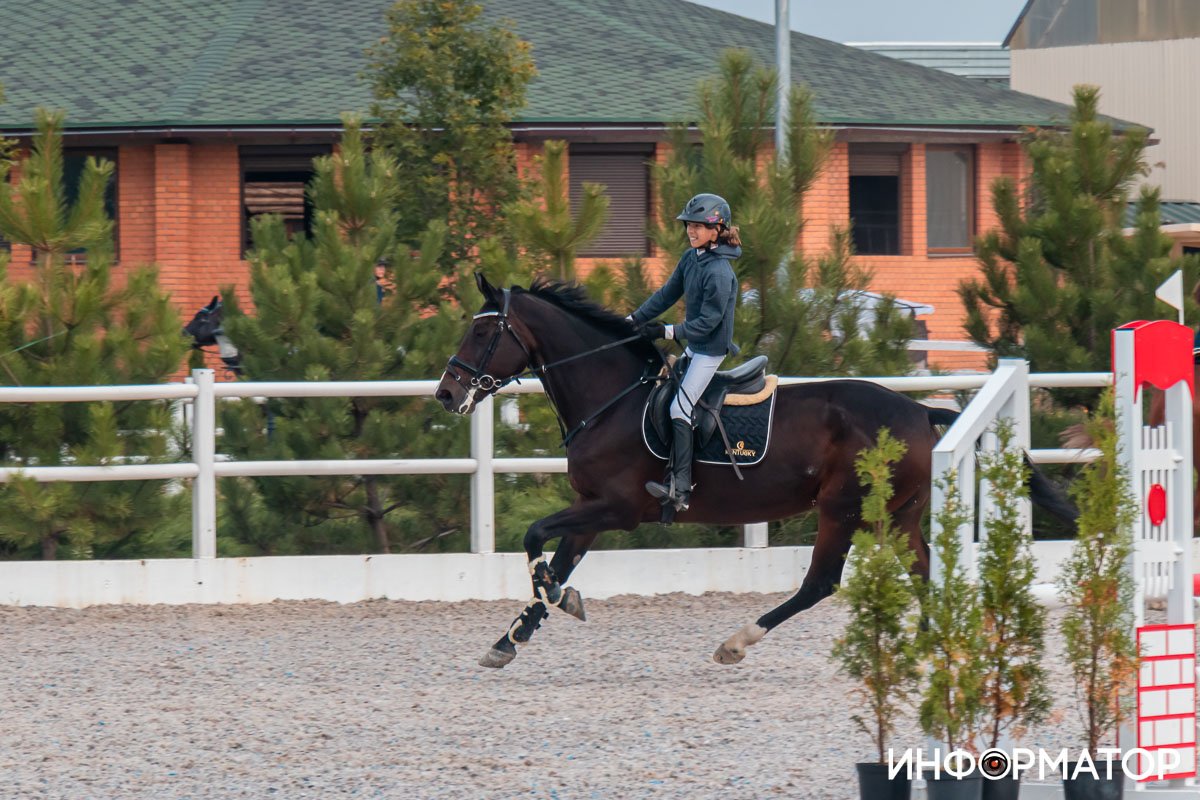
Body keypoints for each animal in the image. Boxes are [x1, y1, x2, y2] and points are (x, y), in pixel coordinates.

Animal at [436, 274, 1073, 669]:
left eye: (482, 331)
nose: (446, 394)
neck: (611, 397)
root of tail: (918, 410)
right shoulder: (591, 511)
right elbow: (555, 560)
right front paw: (512, 637)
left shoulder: (618, 508)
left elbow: (534, 537)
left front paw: (555, 600)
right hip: (897, 515)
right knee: (924, 572)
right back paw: (923, 649)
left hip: (842, 509)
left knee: (821, 583)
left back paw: (737, 643)